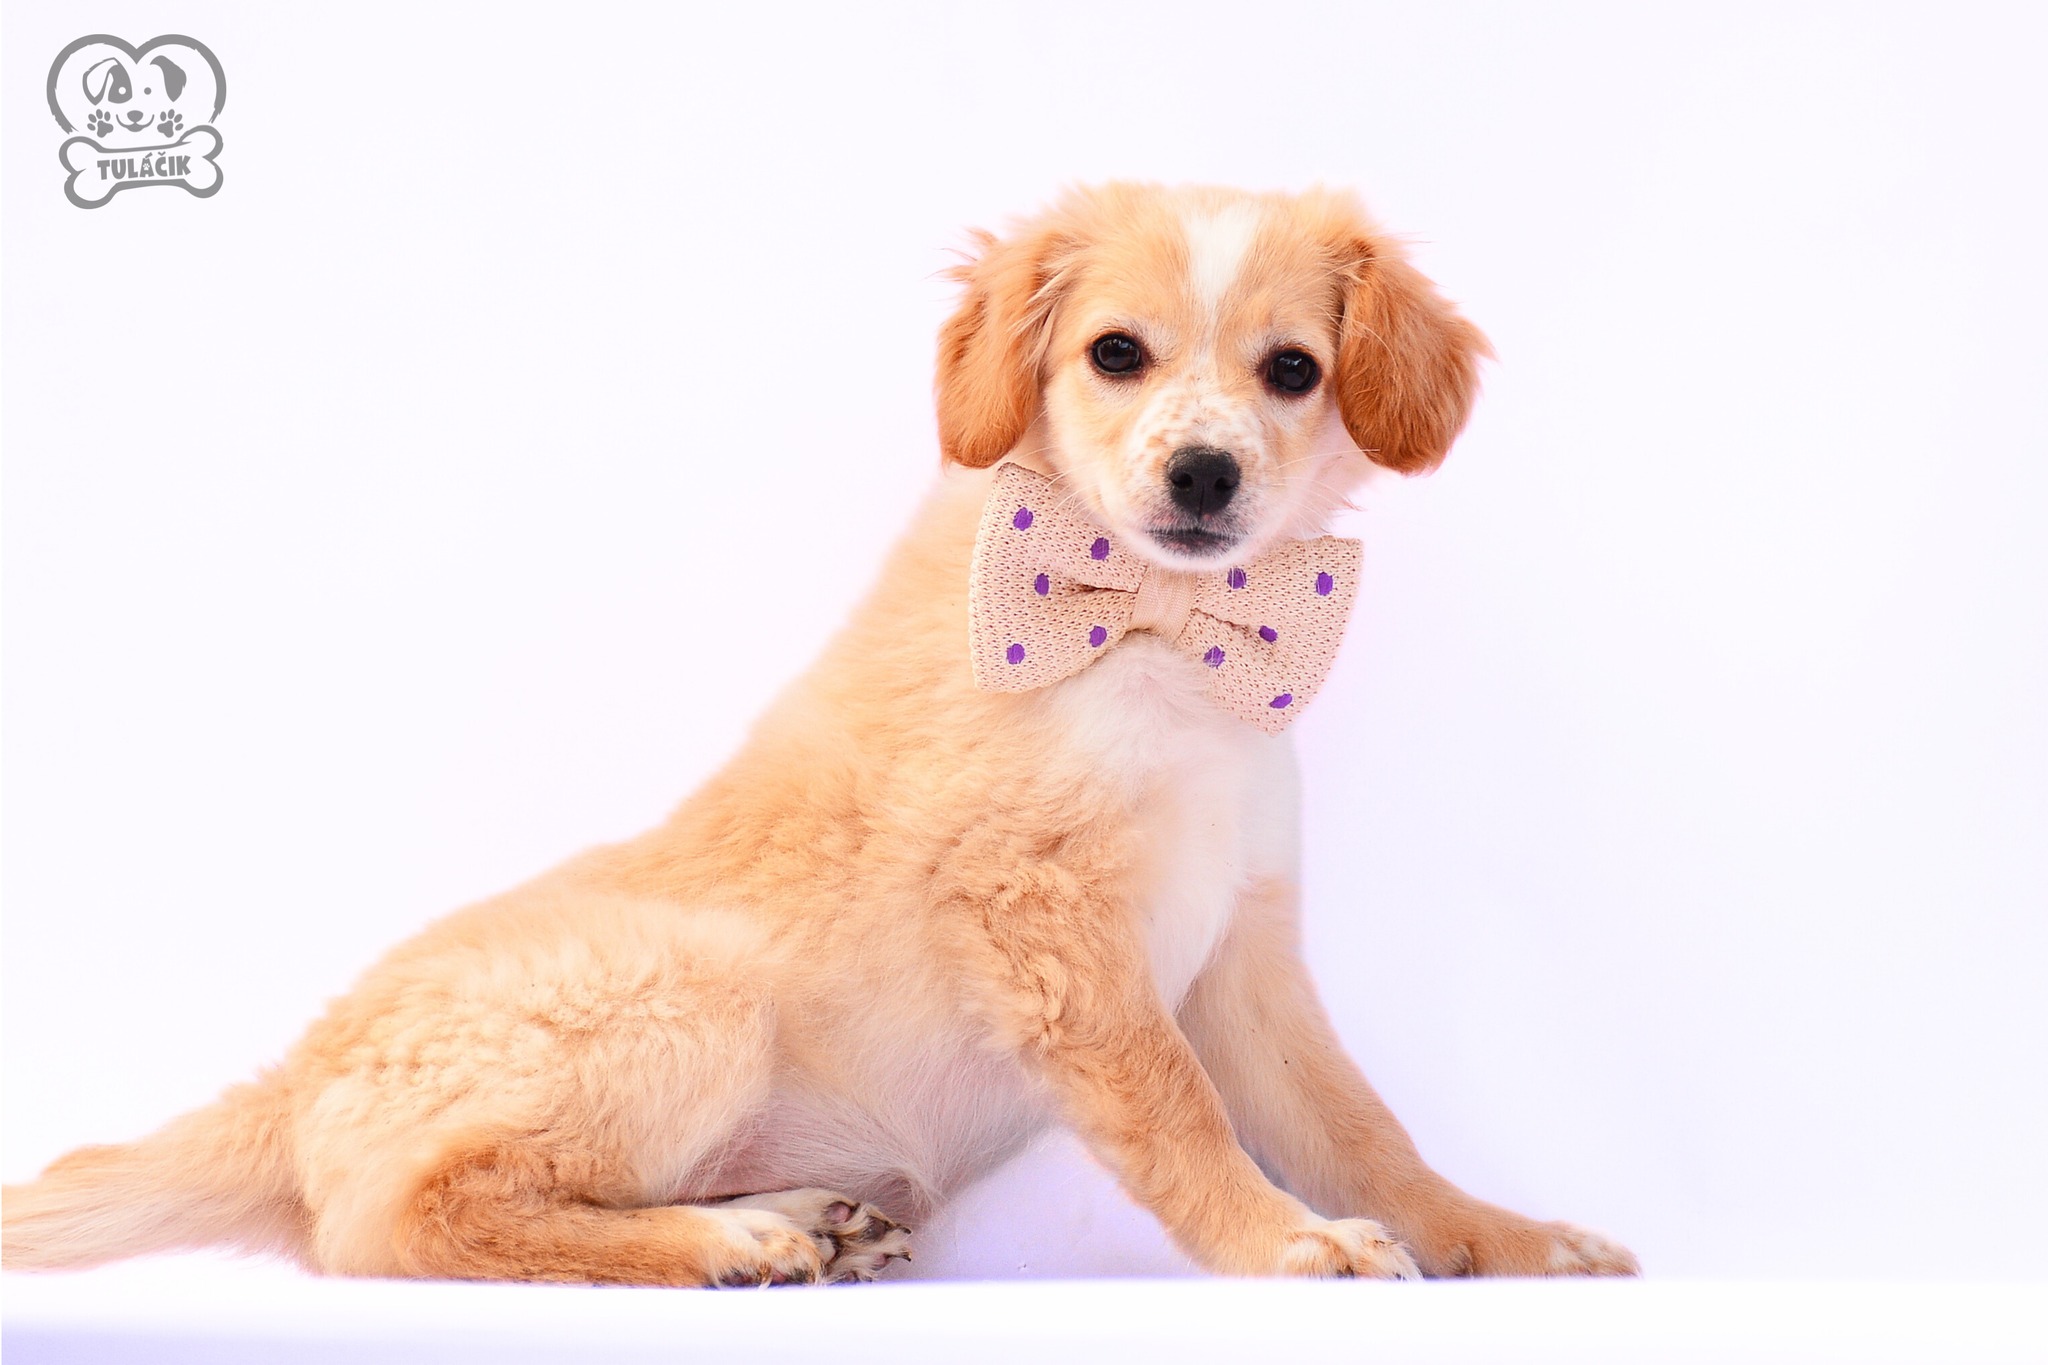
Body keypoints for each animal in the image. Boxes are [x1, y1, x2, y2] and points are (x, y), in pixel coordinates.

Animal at [3, 183, 1639, 1285]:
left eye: (1292, 368)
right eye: (1115, 353)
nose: (1201, 476)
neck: (1160, 638)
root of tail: (299, 1066)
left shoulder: (1243, 943)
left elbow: (1361, 1126)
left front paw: (1498, 1238)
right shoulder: (1051, 923)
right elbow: (1181, 1119)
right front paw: (1284, 1246)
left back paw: (791, 1217)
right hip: (691, 999)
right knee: (394, 1222)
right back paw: (725, 1243)